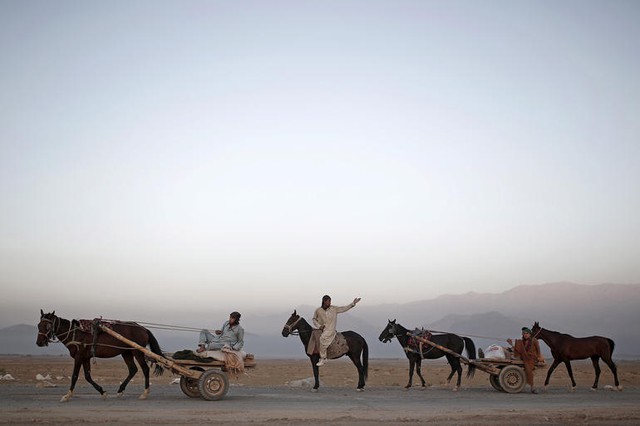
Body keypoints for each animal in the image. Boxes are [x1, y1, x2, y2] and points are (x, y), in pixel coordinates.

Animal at [35, 312, 166, 402]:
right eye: (38, 325)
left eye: (47, 326)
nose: (39, 342)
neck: (75, 333)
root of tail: (143, 328)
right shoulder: (85, 358)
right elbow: (87, 376)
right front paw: (103, 392)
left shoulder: (79, 357)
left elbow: (75, 376)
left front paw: (67, 396)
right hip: (126, 353)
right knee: (133, 369)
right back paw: (120, 391)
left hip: (137, 351)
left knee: (145, 369)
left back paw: (145, 393)